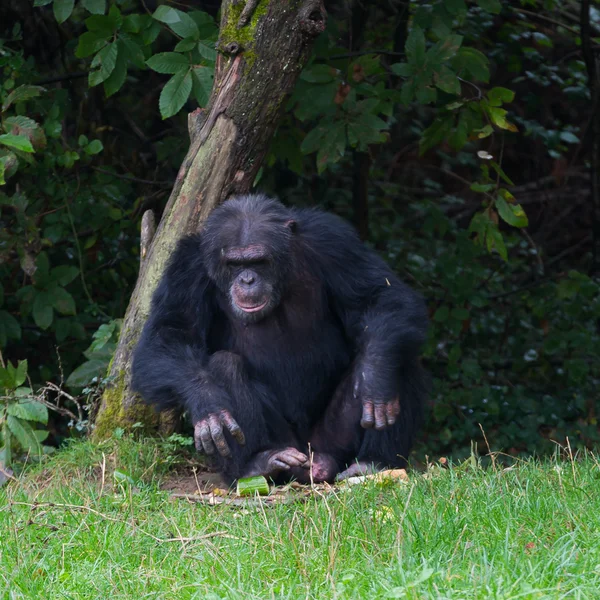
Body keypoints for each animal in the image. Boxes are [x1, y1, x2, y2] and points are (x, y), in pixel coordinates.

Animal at [134, 195, 428, 486]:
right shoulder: (185, 267)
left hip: (331, 443)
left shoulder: (335, 241)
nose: (248, 279)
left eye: (259, 261)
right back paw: (255, 464)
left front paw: (376, 381)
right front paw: (208, 404)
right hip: (285, 444)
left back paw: (373, 462)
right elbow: (167, 336)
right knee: (225, 364)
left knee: (398, 353)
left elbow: (380, 296)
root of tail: (312, 462)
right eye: (234, 264)